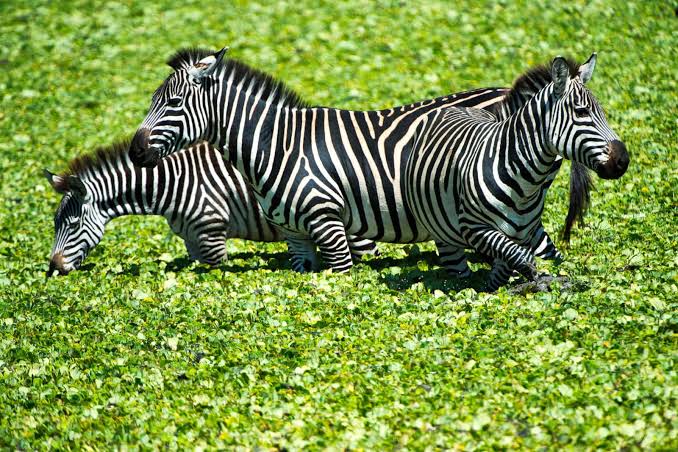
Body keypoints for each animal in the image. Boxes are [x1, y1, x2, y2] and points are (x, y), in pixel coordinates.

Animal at [45, 140, 378, 275]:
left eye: (72, 225)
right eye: (54, 225)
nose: (54, 268)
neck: (171, 184)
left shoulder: (212, 234)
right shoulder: (192, 241)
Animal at [128, 47, 591, 274]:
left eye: (172, 103)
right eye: (151, 101)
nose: (135, 152)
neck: (276, 144)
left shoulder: (330, 224)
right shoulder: (298, 238)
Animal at [405, 53, 629, 289]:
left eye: (603, 112)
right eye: (581, 111)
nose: (623, 160)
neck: (524, 185)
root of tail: (457, 107)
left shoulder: (523, 234)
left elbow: (507, 267)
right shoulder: (474, 227)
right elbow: (520, 258)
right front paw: (536, 282)